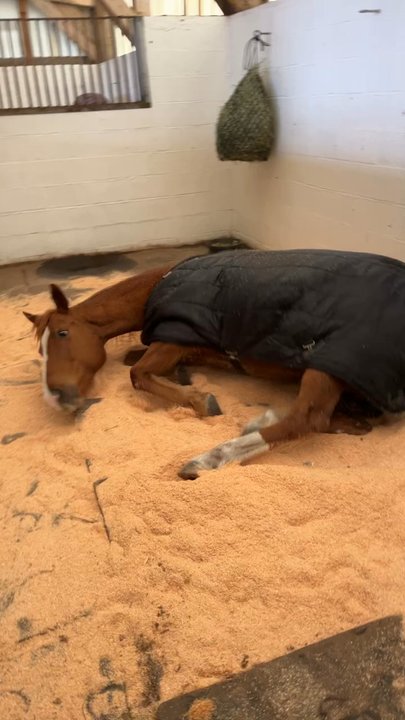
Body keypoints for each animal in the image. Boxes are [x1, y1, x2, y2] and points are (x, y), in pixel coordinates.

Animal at [24, 248, 405, 480]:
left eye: (62, 333)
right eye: (40, 350)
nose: (54, 396)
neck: (161, 285)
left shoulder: (171, 341)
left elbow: (137, 372)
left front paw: (200, 401)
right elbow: (133, 360)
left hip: (325, 365)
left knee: (307, 418)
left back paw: (211, 458)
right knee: (343, 421)